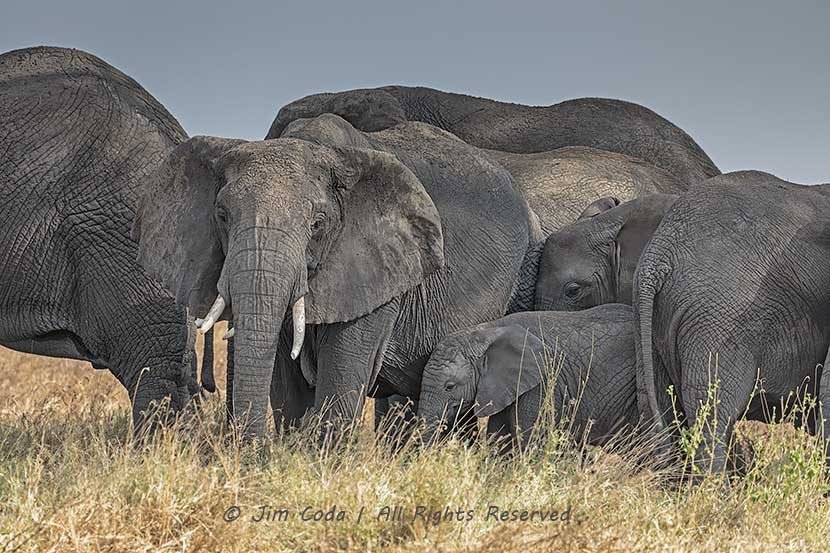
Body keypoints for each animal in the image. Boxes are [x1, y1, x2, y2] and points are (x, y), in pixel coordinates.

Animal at [133, 112, 537, 440]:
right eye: (221, 215)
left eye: (317, 224)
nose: (246, 450)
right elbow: (285, 382)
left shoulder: (375, 267)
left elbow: (342, 372)